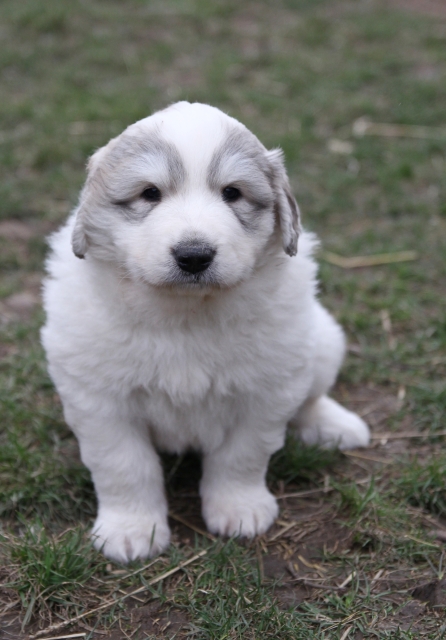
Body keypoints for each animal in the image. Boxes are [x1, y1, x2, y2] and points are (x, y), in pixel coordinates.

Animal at [41, 102, 370, 563]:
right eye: (150, 194)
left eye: (232, 193)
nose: (194, 256)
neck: (187, 314)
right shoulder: (100, 402)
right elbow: (124, 465)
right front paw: (131, 531)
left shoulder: (267, 392)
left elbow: (242, 456)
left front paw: (239, 509)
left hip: (321, 342)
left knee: (311, 399)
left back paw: (334, 426)